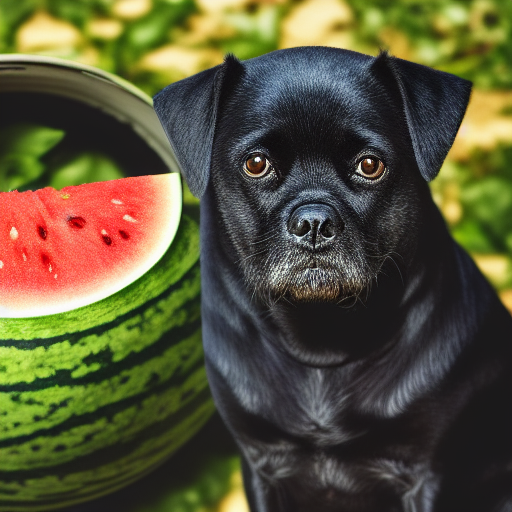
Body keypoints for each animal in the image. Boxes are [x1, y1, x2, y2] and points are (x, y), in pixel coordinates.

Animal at [155, 46, 512, 510]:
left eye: (370, 165)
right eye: (256, 164)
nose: (314, 221)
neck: (321, 345)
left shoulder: (427, 477)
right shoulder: (262, 468)